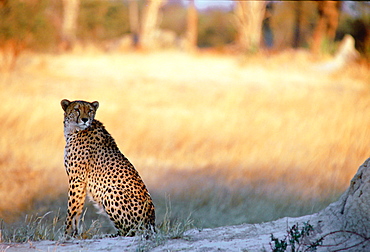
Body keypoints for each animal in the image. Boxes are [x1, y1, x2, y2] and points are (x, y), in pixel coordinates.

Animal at [60, 99, 155, 237]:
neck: (74, 130)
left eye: (90, 110)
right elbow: (77, 210)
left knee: (129, 232)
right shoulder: (80, 182)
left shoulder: (77, 179)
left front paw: (66, 234)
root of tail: (151, 224)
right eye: (77, 109)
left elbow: (71, 210)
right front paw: (74, 234)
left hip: (110, 191)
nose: (85, 119)